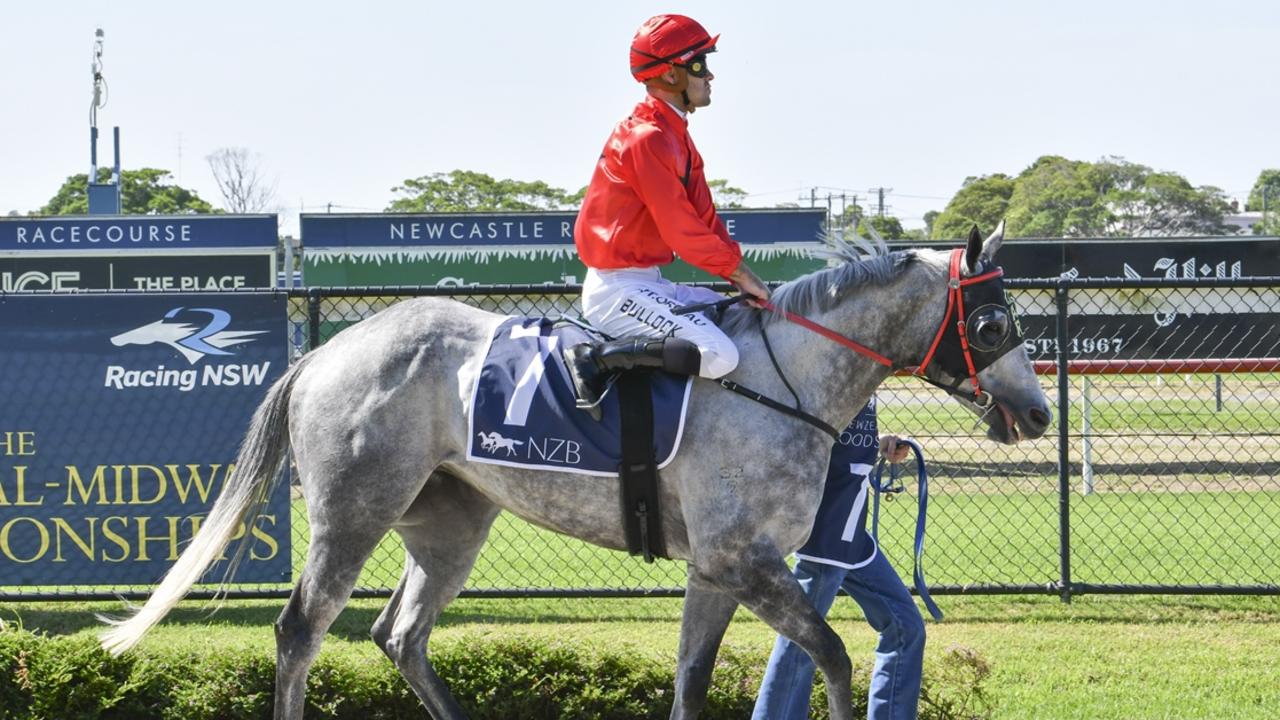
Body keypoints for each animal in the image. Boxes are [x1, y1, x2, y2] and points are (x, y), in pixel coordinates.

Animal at [102, 221, 1049, 712]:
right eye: (994, 323)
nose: (1039, 413)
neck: (782, 379)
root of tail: (325, 351)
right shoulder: (745, 561)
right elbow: (836, 657)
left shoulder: (717, 570)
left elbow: (693, 678)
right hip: (352, 514)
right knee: (301, 633)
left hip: (449, 524)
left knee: (400, 635)